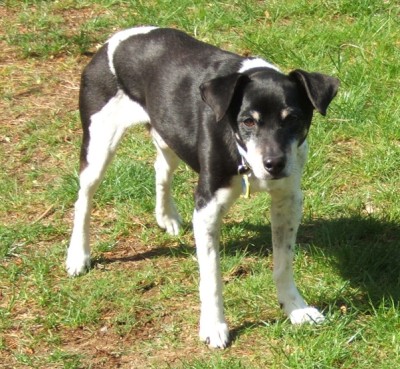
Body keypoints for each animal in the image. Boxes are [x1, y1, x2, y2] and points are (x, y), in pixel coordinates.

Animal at [66, 26, 340, 348]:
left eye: (293, 118)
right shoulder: (207, 208)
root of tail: (113, 40)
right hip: (98, 145)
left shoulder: (288, 200)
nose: (274, 164)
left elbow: (283, 263)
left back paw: (167, 217)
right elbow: (212, 277)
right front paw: (214, 326)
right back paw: (78, 255)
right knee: (83, 198)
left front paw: (296, 309)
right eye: (248, 121)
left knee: (161, 168)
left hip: (168, 134)